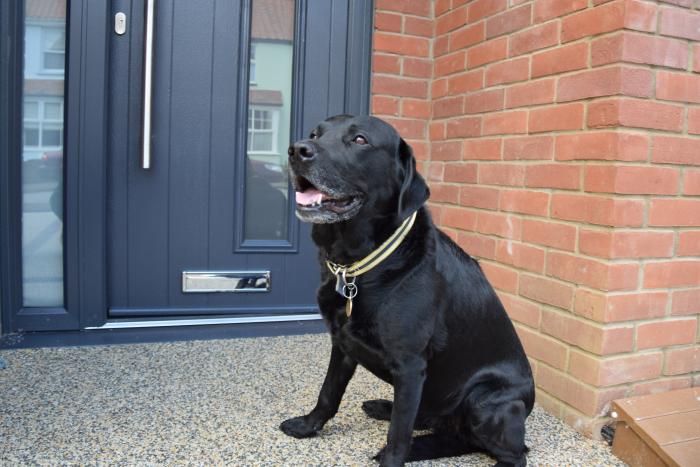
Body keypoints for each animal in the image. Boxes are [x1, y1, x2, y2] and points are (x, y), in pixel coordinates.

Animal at [282, 114, 532, 467]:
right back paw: (385, 410)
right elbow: (328, 393)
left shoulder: (411, 365)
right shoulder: (342, 344)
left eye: (359, 140)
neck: (358, 265)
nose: (297, 150)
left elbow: (398, 435)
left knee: (511, 453)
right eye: (315, 134)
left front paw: (393, 457)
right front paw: (307, 426)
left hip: (487, 399)